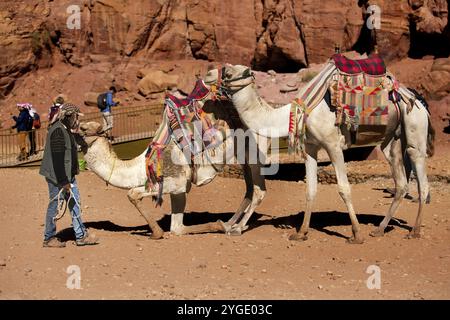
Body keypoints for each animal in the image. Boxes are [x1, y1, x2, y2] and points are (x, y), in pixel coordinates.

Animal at [220, 63, 434, 244]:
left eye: (228, 73)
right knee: (401, 183)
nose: (219, 71)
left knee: (421, 178)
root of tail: (419, 101)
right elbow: (310, 189)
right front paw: (301, 233)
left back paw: (415, 231)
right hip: (392, 140)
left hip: (415, 125)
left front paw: (356, 234)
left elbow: (344, 188)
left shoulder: (333, 145)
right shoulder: (310, 147)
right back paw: (380, 229)